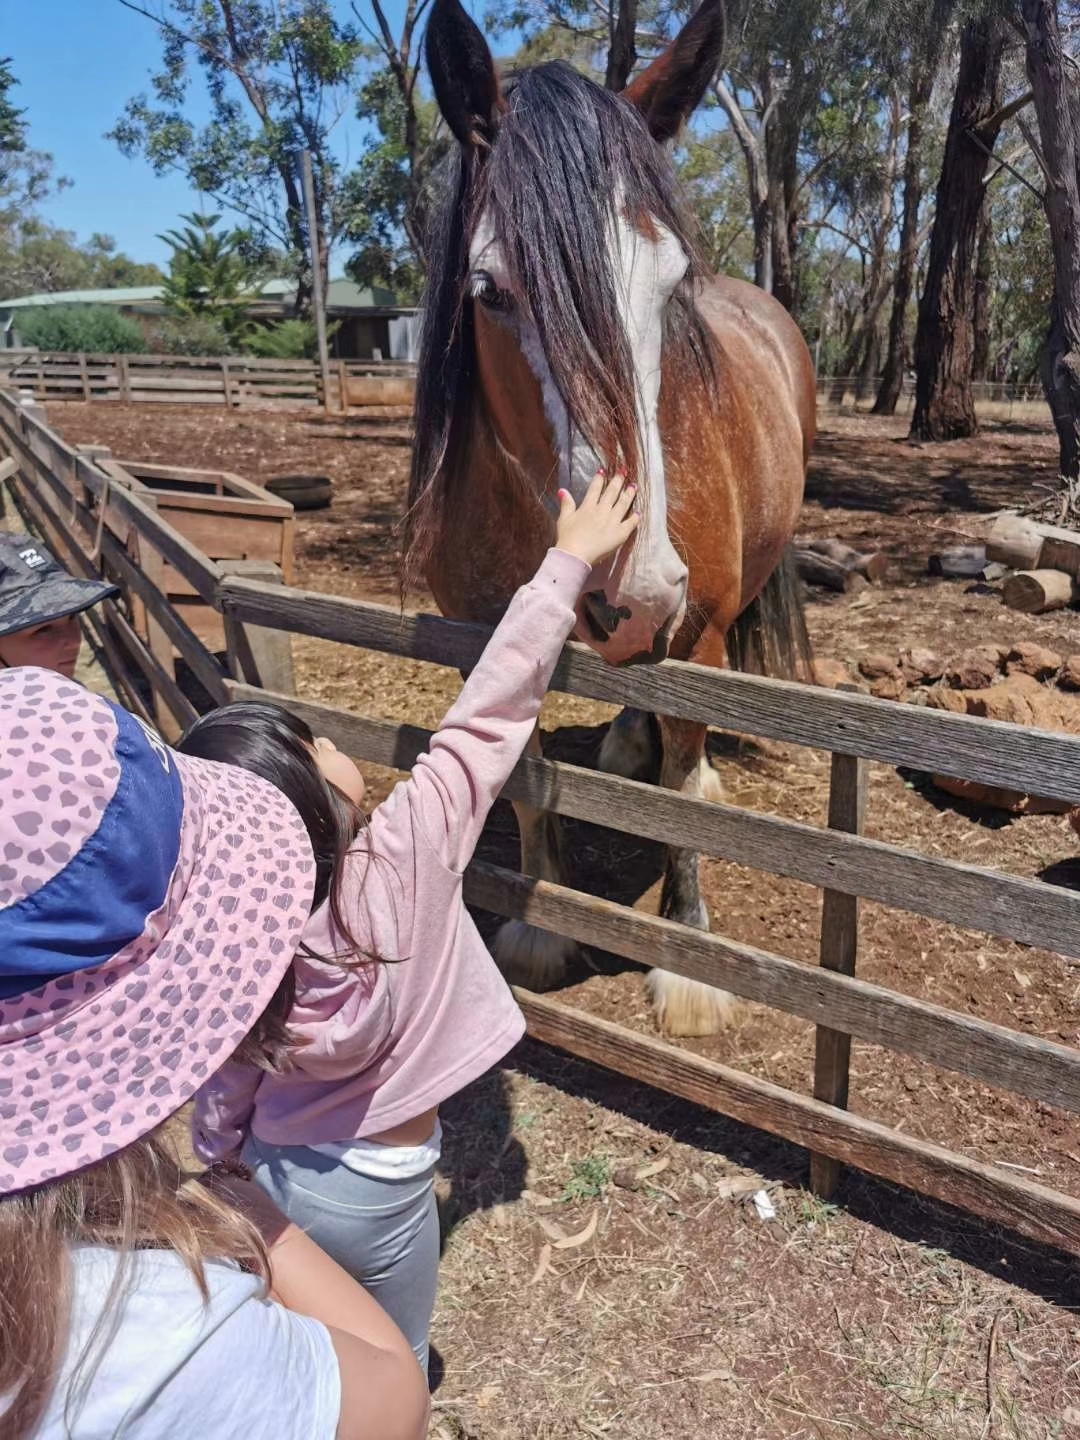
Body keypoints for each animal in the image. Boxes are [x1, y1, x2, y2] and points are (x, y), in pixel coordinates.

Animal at [408, 0, 817, 1042]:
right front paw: (540, 929)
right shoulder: (483, 635)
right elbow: (520, 773)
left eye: (671, 287)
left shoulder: (697, 631)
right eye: (489, 292)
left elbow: (681, 801)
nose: (635, 590)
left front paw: (688, 966)